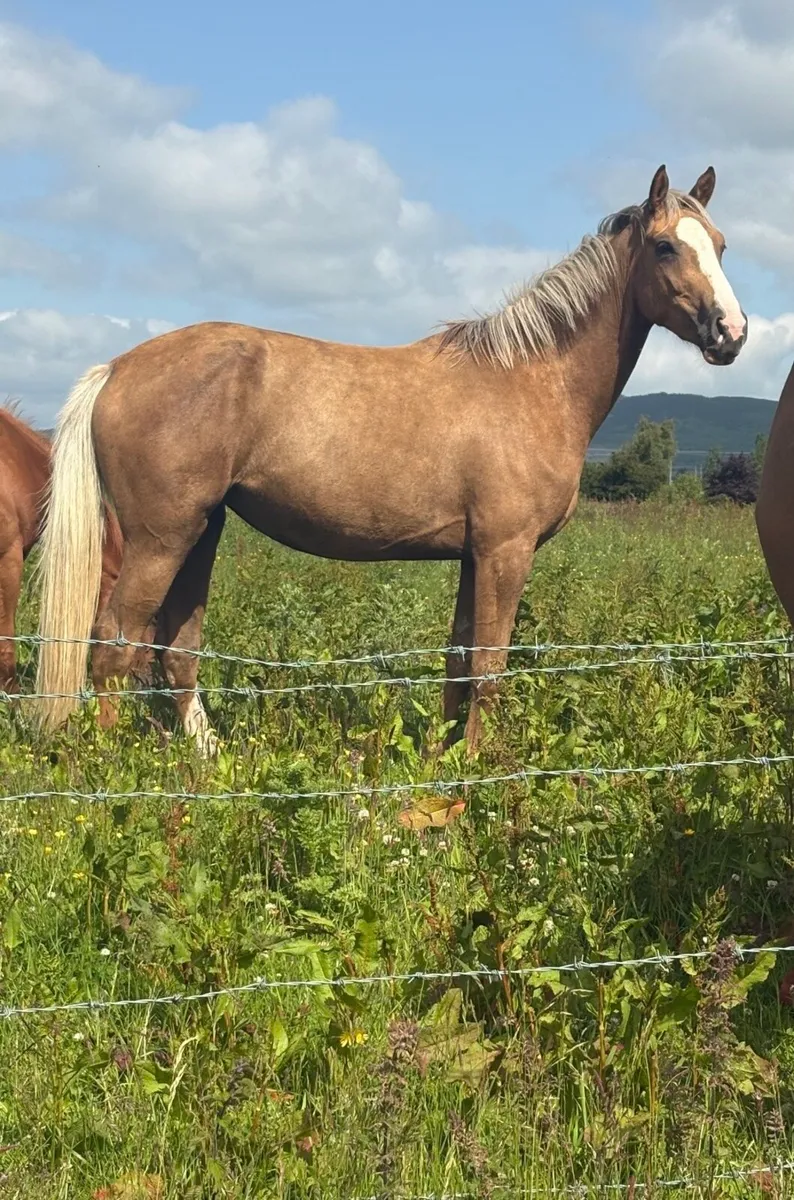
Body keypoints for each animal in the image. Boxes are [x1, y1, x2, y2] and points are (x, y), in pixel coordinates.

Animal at [35, 164, 747, 754]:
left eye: (719, 244)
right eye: (665, 247)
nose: (732, 333)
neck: (530, 378)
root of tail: (117, 369)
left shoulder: (475, 555)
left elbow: (460, 661)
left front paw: (443, 758)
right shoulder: (506, 551)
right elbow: (489, 666)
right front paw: (475, 775)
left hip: (201, 530)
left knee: (175, 650)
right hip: (161, 536)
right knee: (113, 643)